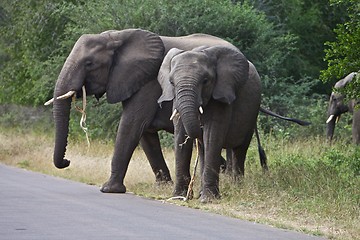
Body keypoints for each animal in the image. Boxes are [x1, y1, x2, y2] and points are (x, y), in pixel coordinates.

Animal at [45, 28, 242, 193]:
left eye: (89, 63)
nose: (67, 161)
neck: (117, 36)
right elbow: (145, 133)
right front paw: (163, 187)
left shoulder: (149, 82)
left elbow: (132, 124)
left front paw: (109, 189)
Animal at [158, 45, 262, 202]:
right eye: (171, 82)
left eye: (205, 81)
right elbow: (180, 136)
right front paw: (178, 197)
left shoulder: (220, 96)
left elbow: (212, 135)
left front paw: (209, 199)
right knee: (203, 151)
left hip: (251, 115)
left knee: (239, 149)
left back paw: (237, 187)